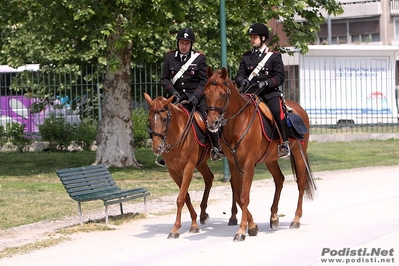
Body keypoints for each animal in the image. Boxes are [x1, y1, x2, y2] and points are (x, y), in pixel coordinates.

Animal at [144, 93, 236, 239]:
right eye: (149, 119)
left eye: (164, 119)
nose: (157, 148)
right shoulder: (173, 171)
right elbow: (185, 196)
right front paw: (193, 222)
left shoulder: (188, 168)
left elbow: (180, 198)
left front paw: (176, 229)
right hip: (201, 162)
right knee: (209, 178)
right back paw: (203, 215)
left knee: (233, 182)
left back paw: (233, 216)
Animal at [205, 67, 318, 242]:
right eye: (205, 94)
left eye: (223, 95)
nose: (212, 123)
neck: (238, 123)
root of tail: (299, 109)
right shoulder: (233, 164)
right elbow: (238, 195)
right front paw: (252, 226)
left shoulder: (249, 164)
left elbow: (244, 196)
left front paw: (241, 231)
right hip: (270, 159)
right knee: (279, 179)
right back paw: (274, 217)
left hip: (299, 153)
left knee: (300, 183)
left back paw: (296, 219)